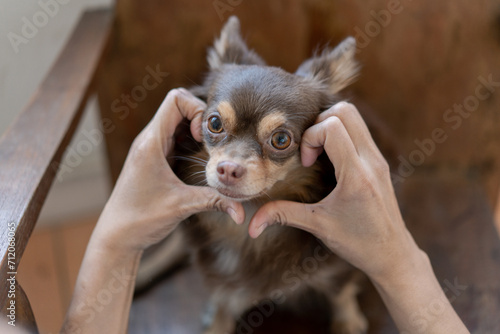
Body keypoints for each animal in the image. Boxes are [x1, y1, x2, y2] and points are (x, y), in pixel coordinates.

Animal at [137, 17, 368, 334]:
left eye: (281, 139)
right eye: (214, 123)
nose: (228, 169)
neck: (248, 219)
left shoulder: (338, 264)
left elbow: (341, 292)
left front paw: (348, 320)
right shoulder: (219, 276)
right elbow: (222, 300)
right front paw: (218, 321)